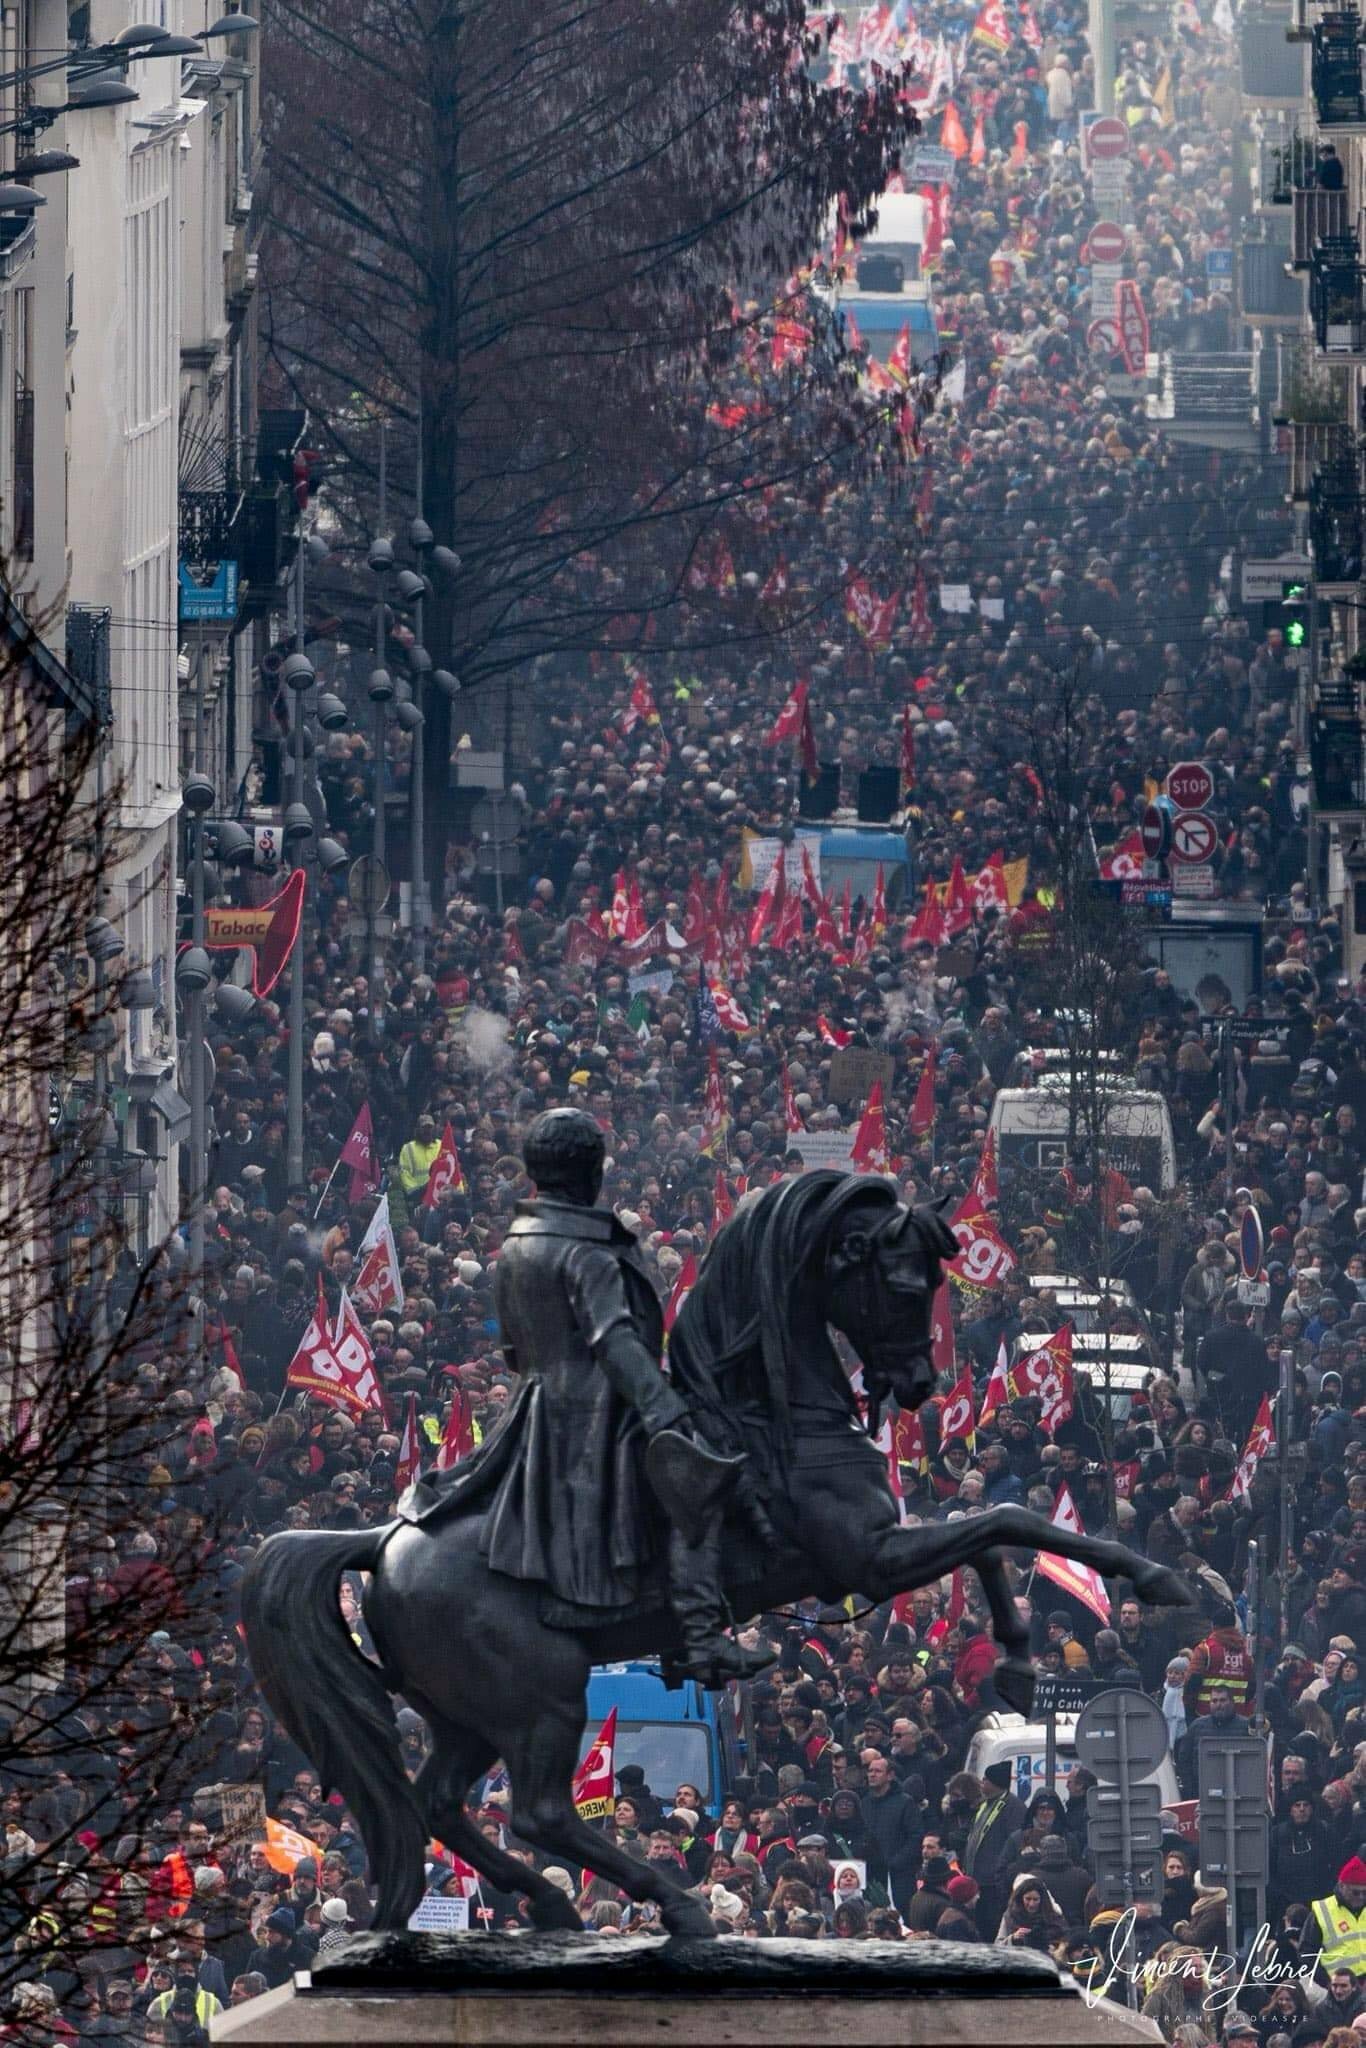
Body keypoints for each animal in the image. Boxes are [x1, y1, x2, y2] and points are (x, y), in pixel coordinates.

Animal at [240, 1171, 1187, 1933]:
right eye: (902, 1283)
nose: (920, 1383)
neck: (775, 1411)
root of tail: (382, 1541)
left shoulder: (878, 1556)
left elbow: (995, 1538)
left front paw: (1023, 1664)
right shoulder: (867, 1558)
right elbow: (1005, 1523)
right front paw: (1152, 1578)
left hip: (466, 1713)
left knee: (443, 1802)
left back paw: (553, 1905)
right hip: (539, 1695)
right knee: (541, 1812)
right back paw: (671, 1902)